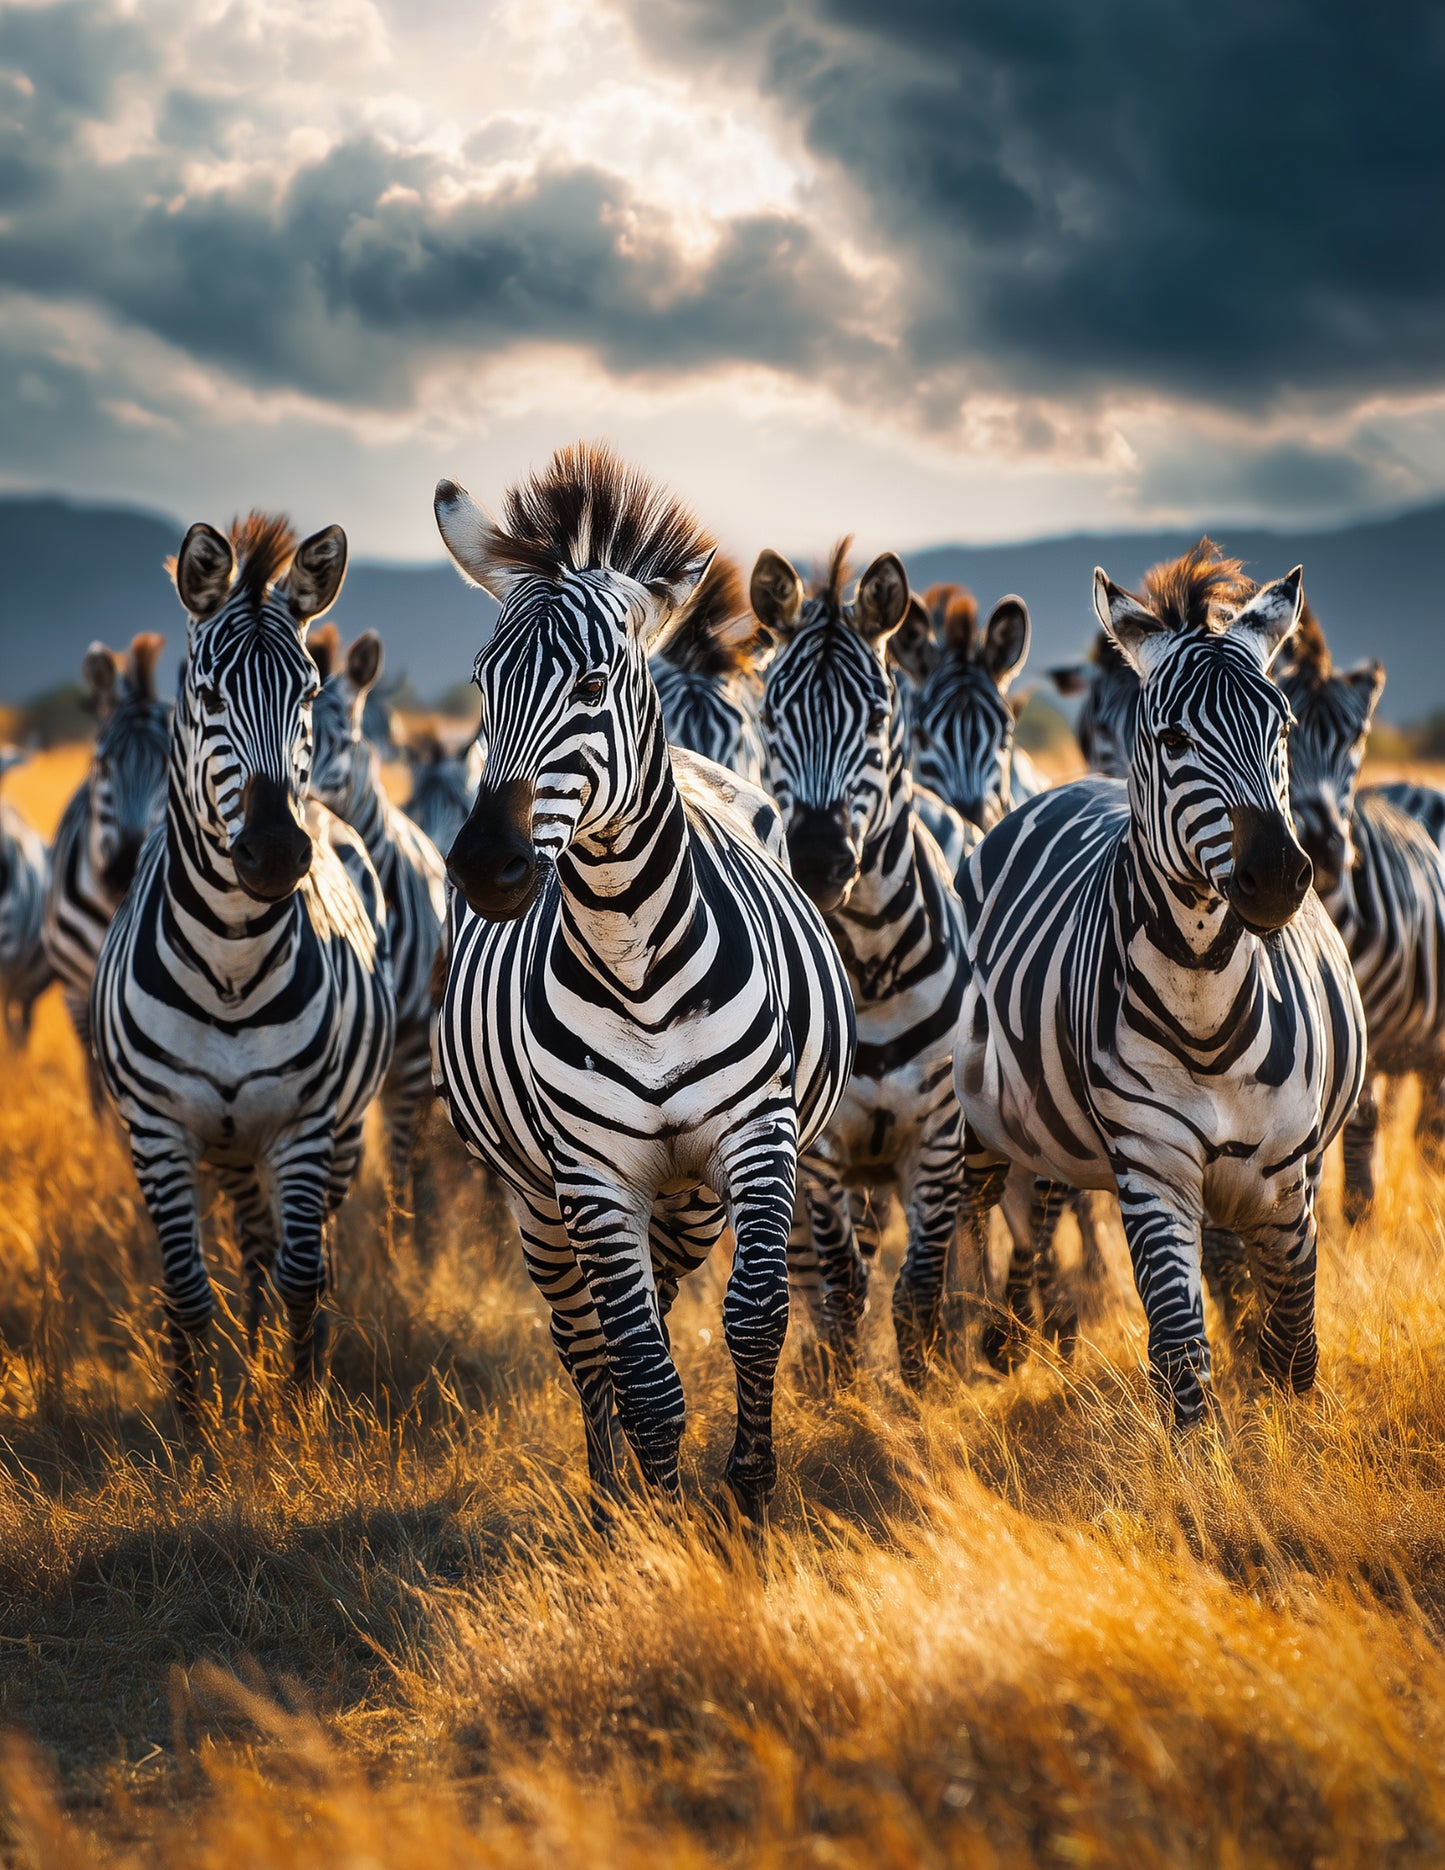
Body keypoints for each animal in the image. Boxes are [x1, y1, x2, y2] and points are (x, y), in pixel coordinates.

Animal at [92, 514, 396, 1411]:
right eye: (207, 696)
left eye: (306, 694)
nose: (275, 853)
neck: (230, 961)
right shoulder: (156, 1131)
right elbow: (187, 1289)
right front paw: (194, 1426)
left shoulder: (304, 1126)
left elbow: (302, 1275)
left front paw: (297, 1412)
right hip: (228, 1146)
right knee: (253, 1241)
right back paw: (250, 1356)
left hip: (339, 1133)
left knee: (303, 1252)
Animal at [431, 443, 855, 1524]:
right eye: (480, 681)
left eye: (592, 680)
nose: (485, 869)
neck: (635, 961)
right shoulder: (590, 1172)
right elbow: (635, 1360)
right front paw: (651, 1524)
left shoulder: (757, 1139)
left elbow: (752, 1317)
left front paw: (747, 1494)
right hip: (536, 1196)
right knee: (588, 1339)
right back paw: (608, 1489)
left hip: (691, 1191)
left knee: (660, 1305)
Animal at [750, 539, 968, 1384]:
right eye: (770, 715)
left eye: (876, 717)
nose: (816, 858)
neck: (871, 968)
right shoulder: (818, 1155)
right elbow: (840, 1287)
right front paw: (843, 1397)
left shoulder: (938, 1137)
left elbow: (920, 1287)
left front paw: (921, 1396)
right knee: (812, 1273)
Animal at [953, 545, 1366, 1423]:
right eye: (1172, 737)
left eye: (1281, 728)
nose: (1277, 876)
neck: (1205, 1006)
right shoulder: (1149, 1169)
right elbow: (1179, 1352)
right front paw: (1206, 1449)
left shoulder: (1287, 1179)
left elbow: (1295, 1340)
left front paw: (1286, 1428)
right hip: (979, 1123)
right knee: (966, 1220)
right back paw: (964, 1342)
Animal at [1275, 606, 1445, 1216]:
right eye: (1287, 731)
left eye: (1358, 737)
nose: (1322, 846)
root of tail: (1410, 786)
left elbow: (1358, 1122)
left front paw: (1359, 1215)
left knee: (1427, 1129)